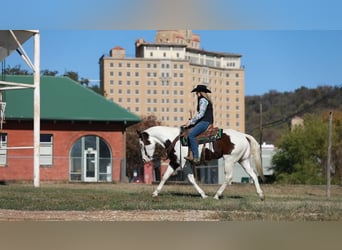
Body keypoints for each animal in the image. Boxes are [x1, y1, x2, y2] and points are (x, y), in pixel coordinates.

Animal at [136, 126, 264, 200]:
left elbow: (191, 179)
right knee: (253, 175)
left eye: (142, 144)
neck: (174, 139)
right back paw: (260, 195)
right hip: (243, 160)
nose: (144, 160)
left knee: (228, 177)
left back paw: (217, 195)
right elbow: (164, 177)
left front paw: (203, 195)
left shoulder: (184, 163)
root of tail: (244, 135)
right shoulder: (174, 162)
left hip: (229, 160)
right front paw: (155, 193)